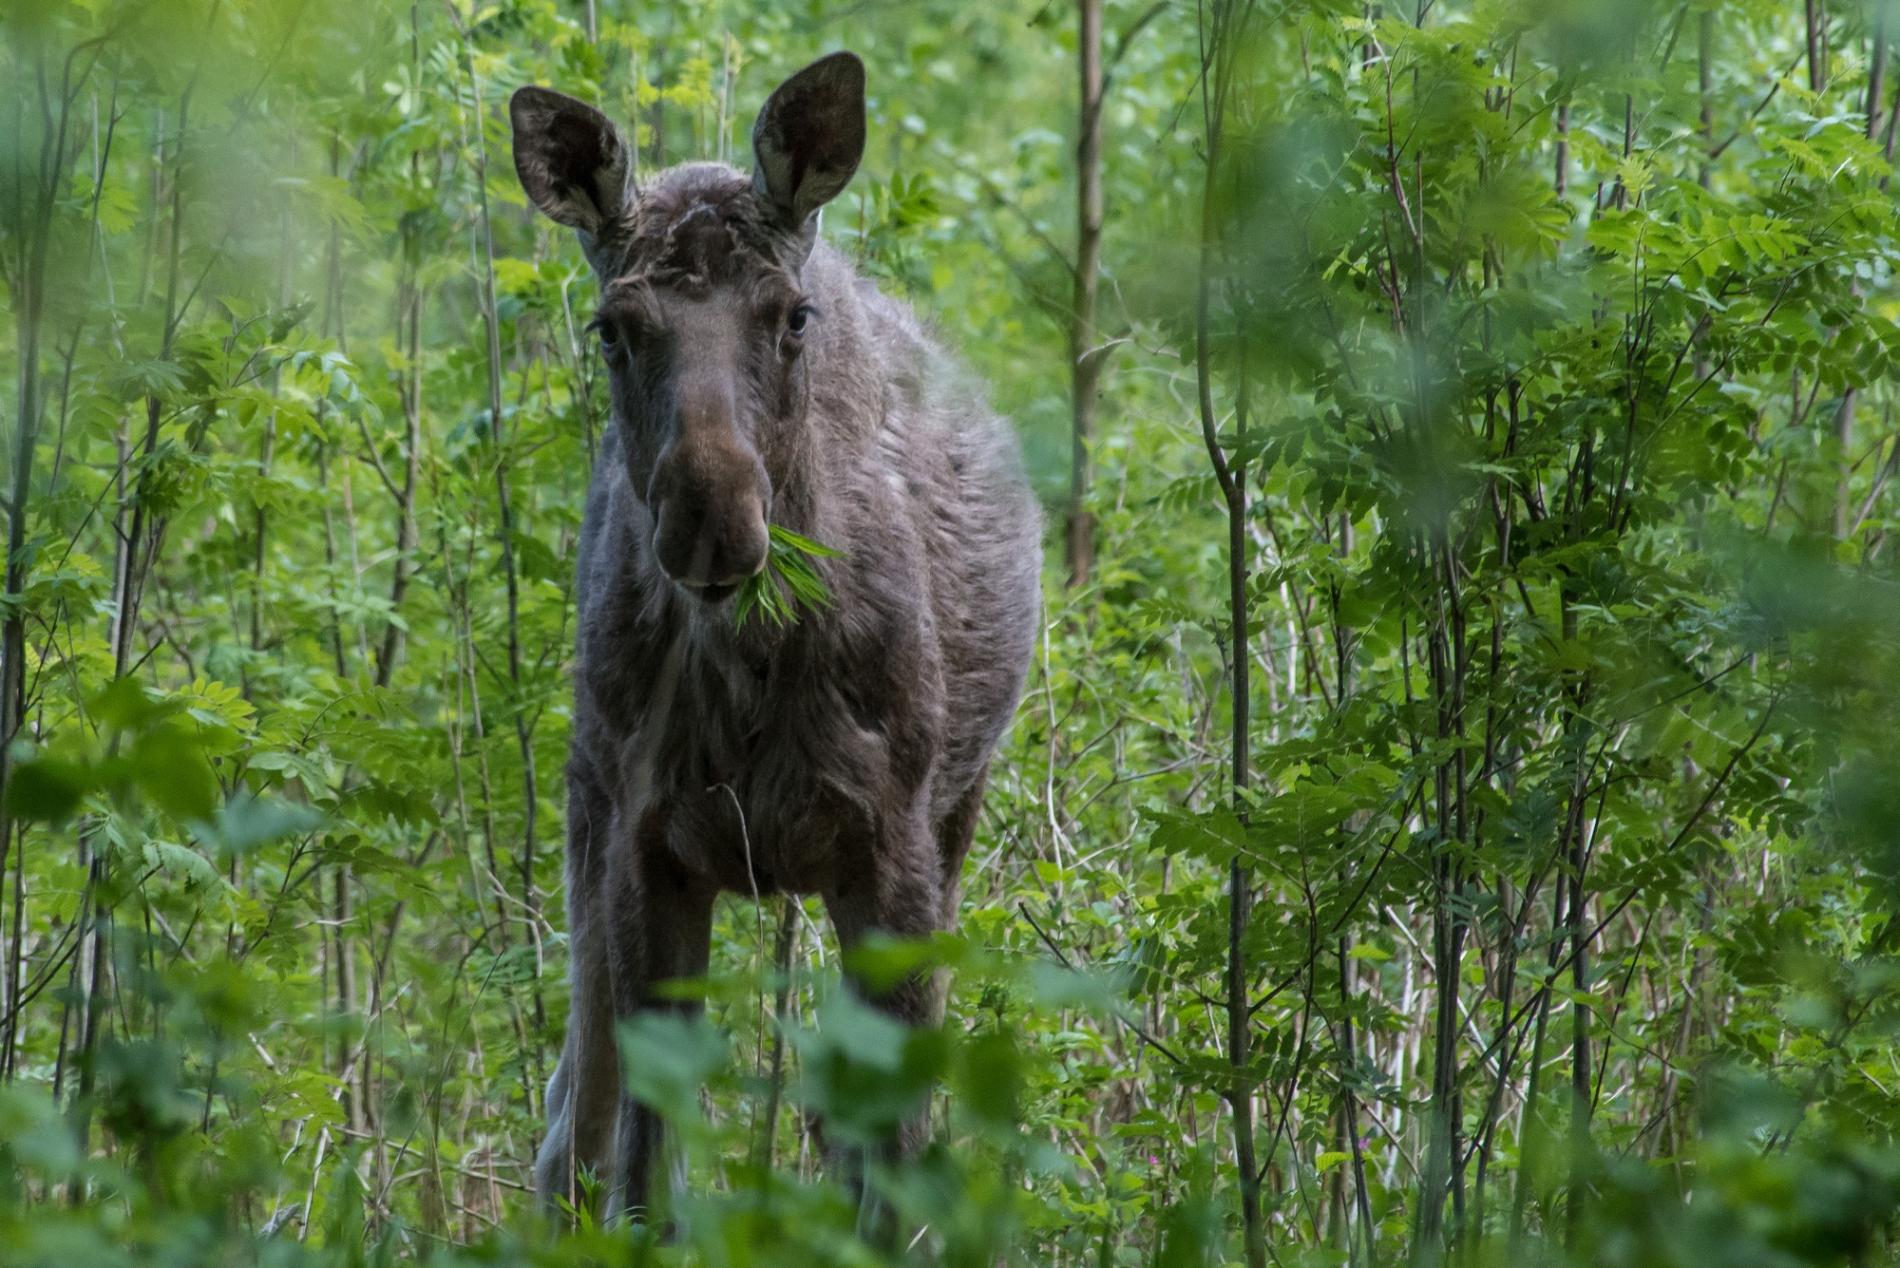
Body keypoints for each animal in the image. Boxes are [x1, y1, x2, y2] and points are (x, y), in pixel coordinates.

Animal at [505, 52, 1041, 1216]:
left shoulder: (892, 845)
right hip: (585, 803)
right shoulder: (645, 840)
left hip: (957, 811)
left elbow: (885, 1171)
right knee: (571, 1120)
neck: (751, 676)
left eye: (792, 316)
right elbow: (643, 1175)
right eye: (612, 326)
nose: (712, 515)